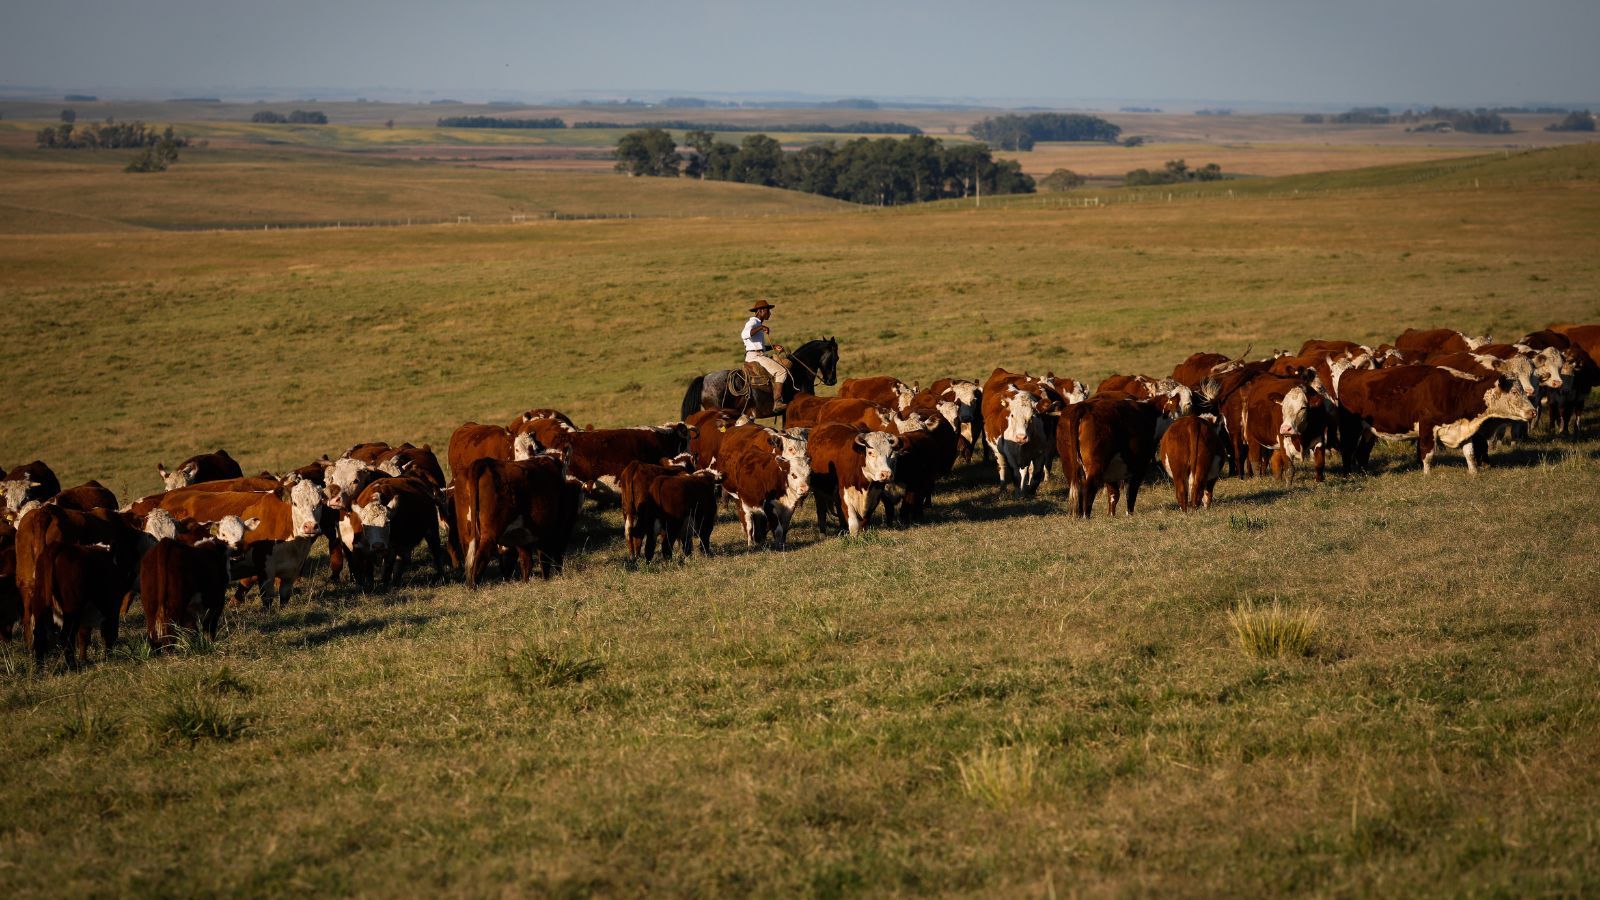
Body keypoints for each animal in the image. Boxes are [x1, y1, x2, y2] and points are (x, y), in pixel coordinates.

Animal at [457, 451, 582, 586]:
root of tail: (485, 462)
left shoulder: (522, 536)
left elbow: (527, 562)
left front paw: (526, 583)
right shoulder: (549, 533)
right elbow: (546, 559)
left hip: (466, 534)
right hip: (489, 535)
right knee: (480, 559)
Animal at [1324, 358, 1536, 474]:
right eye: (1515, 392)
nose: (1533, 411)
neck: (1455, 391)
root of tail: (1350, 373)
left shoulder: (1463, 427)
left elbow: (1469, 452)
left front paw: (1473, 472)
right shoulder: (1427, 426)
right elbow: (1427, 454)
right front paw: (1427, 475)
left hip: (1369, 430)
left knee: (1362, 451)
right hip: (1350, 426)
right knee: (1348, 449)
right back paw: (1348, 474)